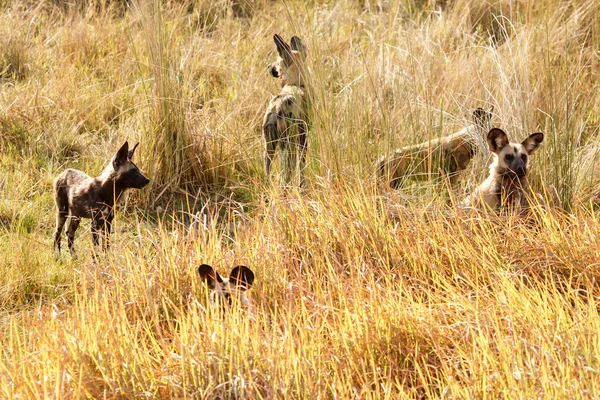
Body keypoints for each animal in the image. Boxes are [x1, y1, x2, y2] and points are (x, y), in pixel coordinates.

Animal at [262, 33, 310, 186]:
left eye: (276, 62)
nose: (268, 66)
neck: (296, 83)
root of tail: (276, 106)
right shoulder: (302, 138)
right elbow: (301, 168)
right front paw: (302, 186)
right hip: (286, 145)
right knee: (286, 174)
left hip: (269, 146)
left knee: (267, 171)